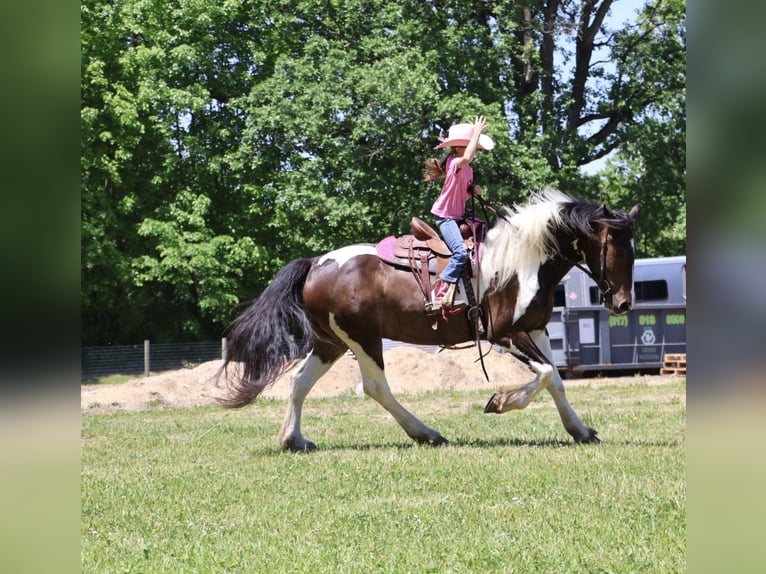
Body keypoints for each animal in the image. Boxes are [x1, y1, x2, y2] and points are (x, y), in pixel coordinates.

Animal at [219, 189, 639, 451]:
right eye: (615, 249)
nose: (622, 304)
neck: (522, 263)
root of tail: (315, 264)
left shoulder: (535, 329)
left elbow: (557, 382)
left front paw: (579, 430)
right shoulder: (505, 334)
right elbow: (548, 375)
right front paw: (500, 401)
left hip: (331, 342)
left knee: (299, 383)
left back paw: (294, 440)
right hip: (362, 339)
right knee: (375, 388)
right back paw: (427, 434)